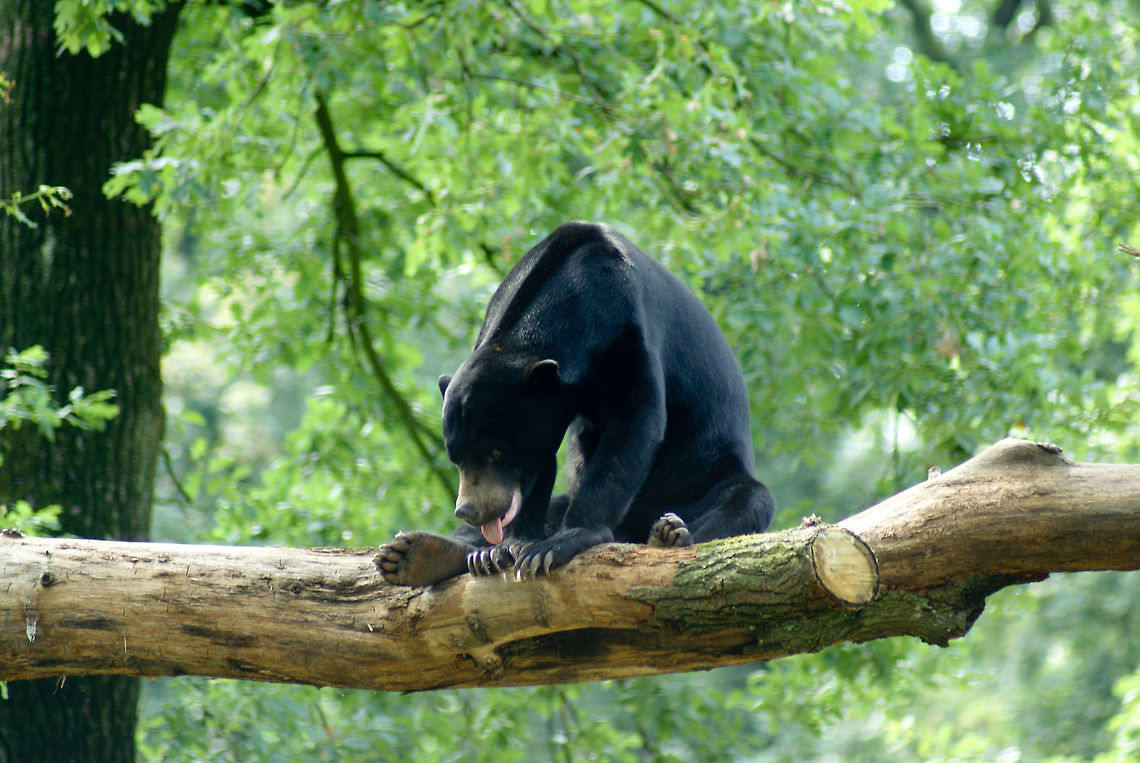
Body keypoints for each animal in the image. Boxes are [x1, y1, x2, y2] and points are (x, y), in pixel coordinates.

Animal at [378, 221, 774, 586]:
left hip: (705, 475)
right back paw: (420, 554)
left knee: (747, 501)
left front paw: (556, 544)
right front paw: (507, 546)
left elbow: (634, 426)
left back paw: (668, 536)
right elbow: (543, 464)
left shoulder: (630, 334)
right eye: (455, 457)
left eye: (495, 452)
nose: (469, 510)